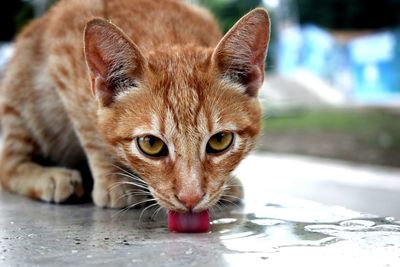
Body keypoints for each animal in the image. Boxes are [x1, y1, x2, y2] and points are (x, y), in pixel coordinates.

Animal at [0, 0, 270, 214]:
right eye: (151, 144)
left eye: (220, 141)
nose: (190, 199)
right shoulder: (62, 46)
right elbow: (91, 131)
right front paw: (112, 178)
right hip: (22, 102)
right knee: (8, 164)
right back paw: (51, 176)